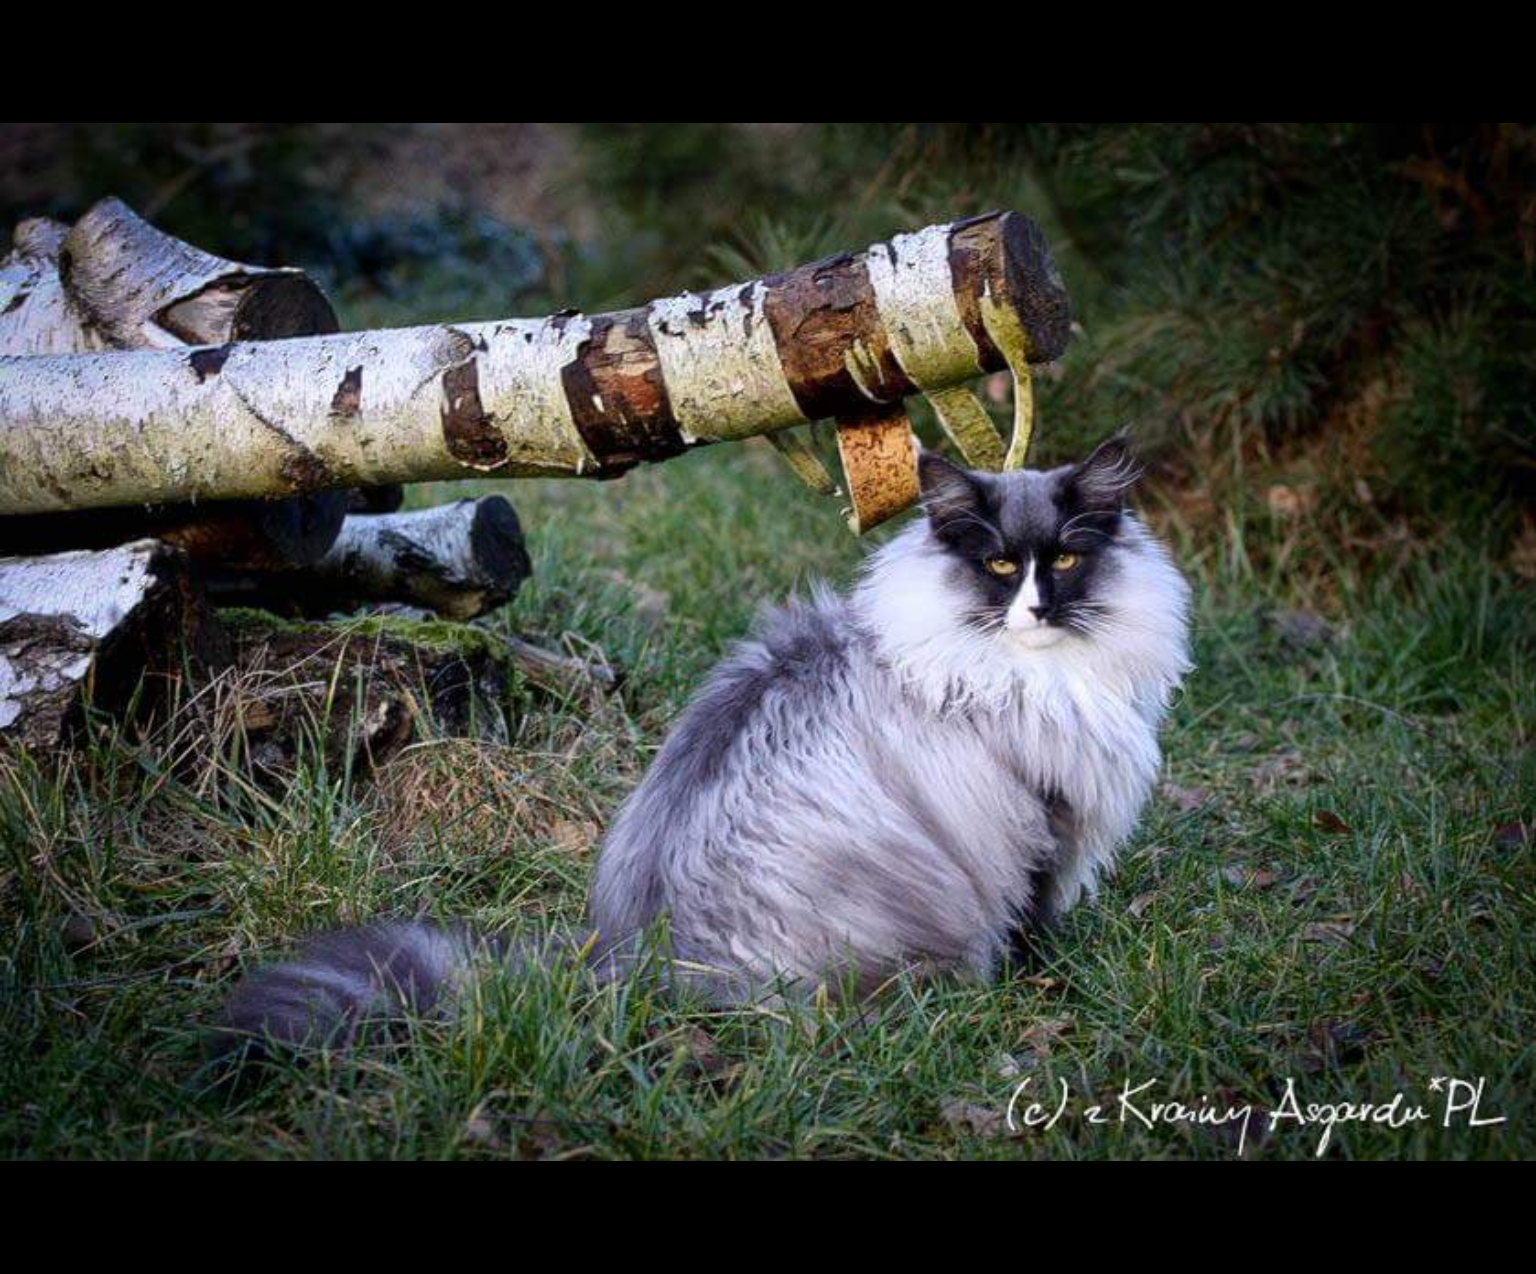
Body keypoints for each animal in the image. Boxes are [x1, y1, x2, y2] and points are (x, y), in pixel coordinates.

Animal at [215, 434, 1192, 1056]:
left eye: (1063, 560)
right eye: (996, 566)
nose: (1036, 609)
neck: (1015, 671)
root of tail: (638, 964)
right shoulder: (1044, 829)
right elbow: (1031, 921)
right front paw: (1042, 986)